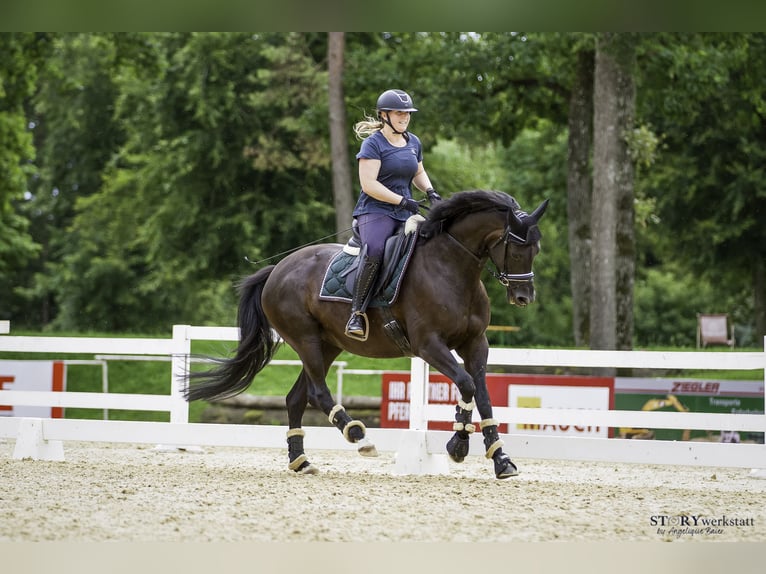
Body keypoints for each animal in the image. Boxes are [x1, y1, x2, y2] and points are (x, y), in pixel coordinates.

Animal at [184, 191, 544, 480]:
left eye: (536, 249)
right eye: (516, 249)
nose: (524, 297)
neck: (452, 268)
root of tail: (277, 269)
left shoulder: (475, 343)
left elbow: (481, 394)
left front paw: (500, 459)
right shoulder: (429, 345)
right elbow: (467, 384)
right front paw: (458, 444)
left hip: (327, 344)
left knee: (296, 397)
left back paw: (301, 461)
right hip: (306, 340)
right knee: (317, 392)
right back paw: (358, 435)